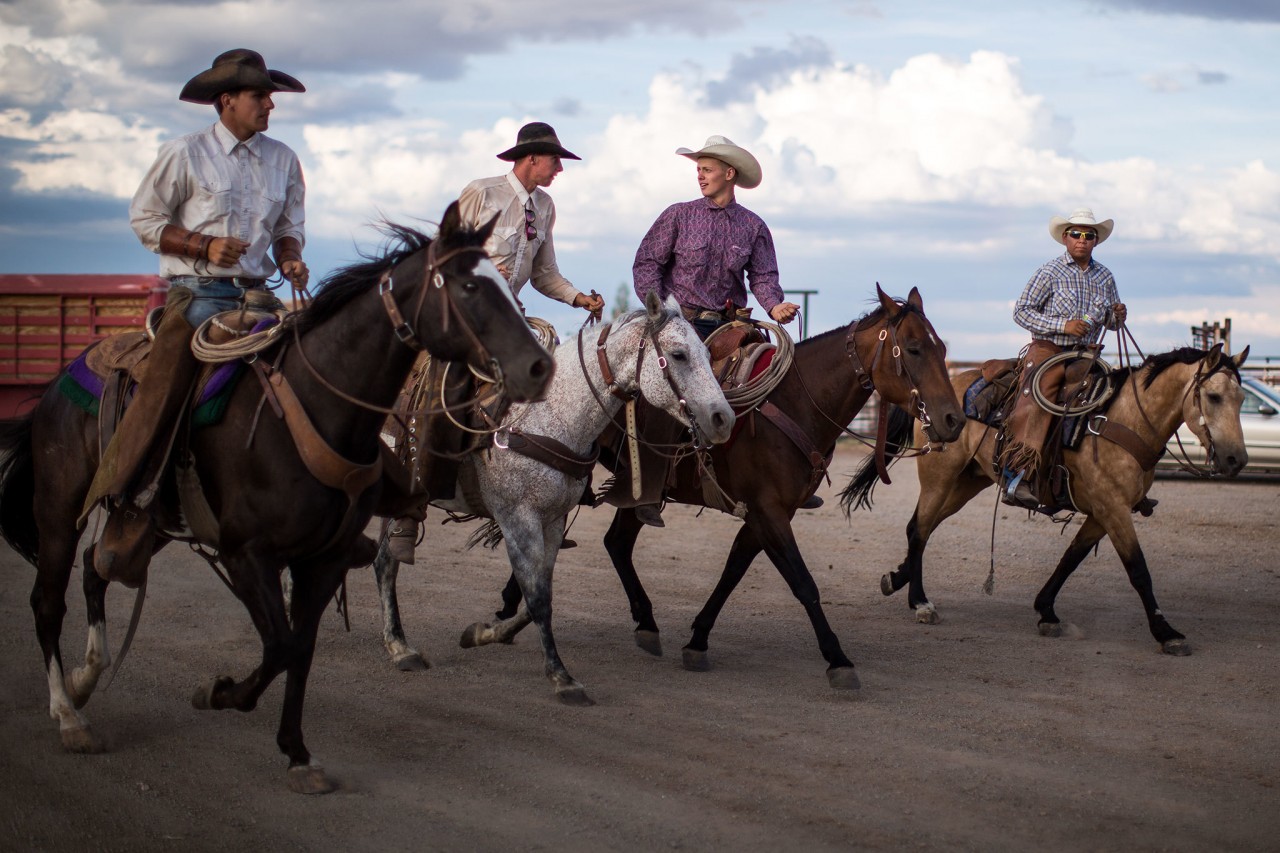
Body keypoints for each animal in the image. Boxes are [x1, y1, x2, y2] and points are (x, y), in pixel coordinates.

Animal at [0, 202, 552, 794]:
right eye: (470, 284)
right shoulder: (246, 554)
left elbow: (299, 649)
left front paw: (296, 752)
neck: (315, 410)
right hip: (58, 510)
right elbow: (281, 645)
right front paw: (219, 693)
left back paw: (86, 677)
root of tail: (62, 377)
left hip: (149, 525)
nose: (539, 368)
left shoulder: (324, 559)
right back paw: (69, 715)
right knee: (48, 598)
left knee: (96, 567)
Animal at [366, 292, 737, 701]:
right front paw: (562, 677)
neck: (548, 416)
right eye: (678, 354)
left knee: (385, 561)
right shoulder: (518, 520)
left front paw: (479, 634)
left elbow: (538, 596)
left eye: (706, 352)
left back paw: (400, 646)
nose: (723, 419)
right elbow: (538, 598)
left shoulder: (554, 521)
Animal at [839, 340, 1249, 650]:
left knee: (920, 529)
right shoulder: (1113, 509)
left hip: (968, 483)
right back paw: (921, 602)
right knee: (920, 529)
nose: (1236, 459)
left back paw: (899, 582)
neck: (1123, 421)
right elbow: (1139, 570)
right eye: (1213, 396)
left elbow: (1071, 559)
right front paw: (1166, 633)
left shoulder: (1101, 512)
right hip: (940, 478)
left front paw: (1046, 611)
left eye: (1242, 399)